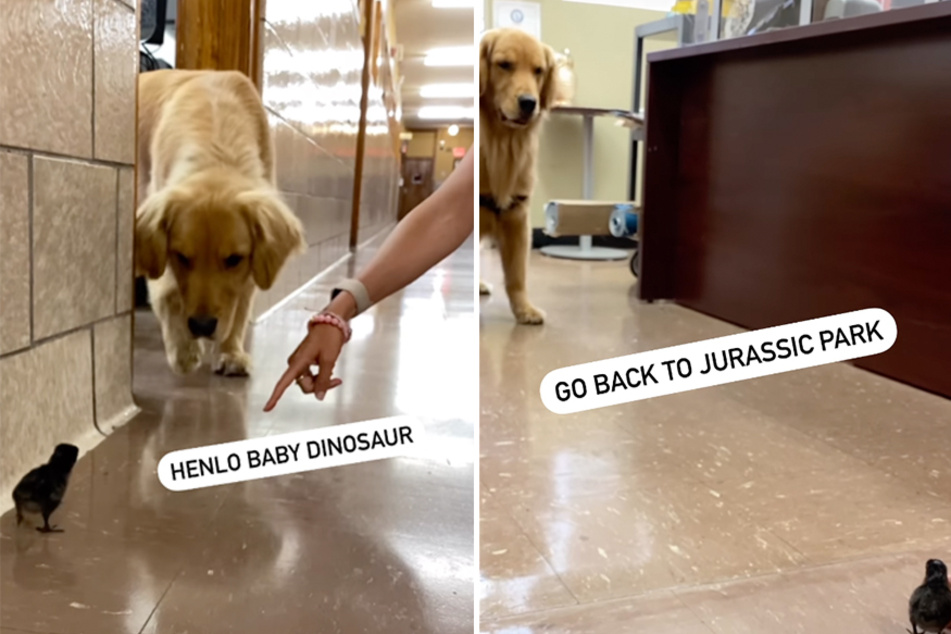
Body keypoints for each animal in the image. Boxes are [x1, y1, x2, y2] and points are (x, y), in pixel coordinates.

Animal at [134, 69, 304, 376]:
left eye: (234, 259)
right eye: (181, 256)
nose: (201, 326)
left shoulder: (253, 263)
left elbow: (241, 304)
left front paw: (231, 353)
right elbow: (169, 292)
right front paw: (184, 350)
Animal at [480, 28, 560, 326]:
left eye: (539, 70)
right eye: (504, 65)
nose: (529, 103)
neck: (502, 142)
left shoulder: (517, 214)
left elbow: (517, 275)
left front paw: (524, 309)